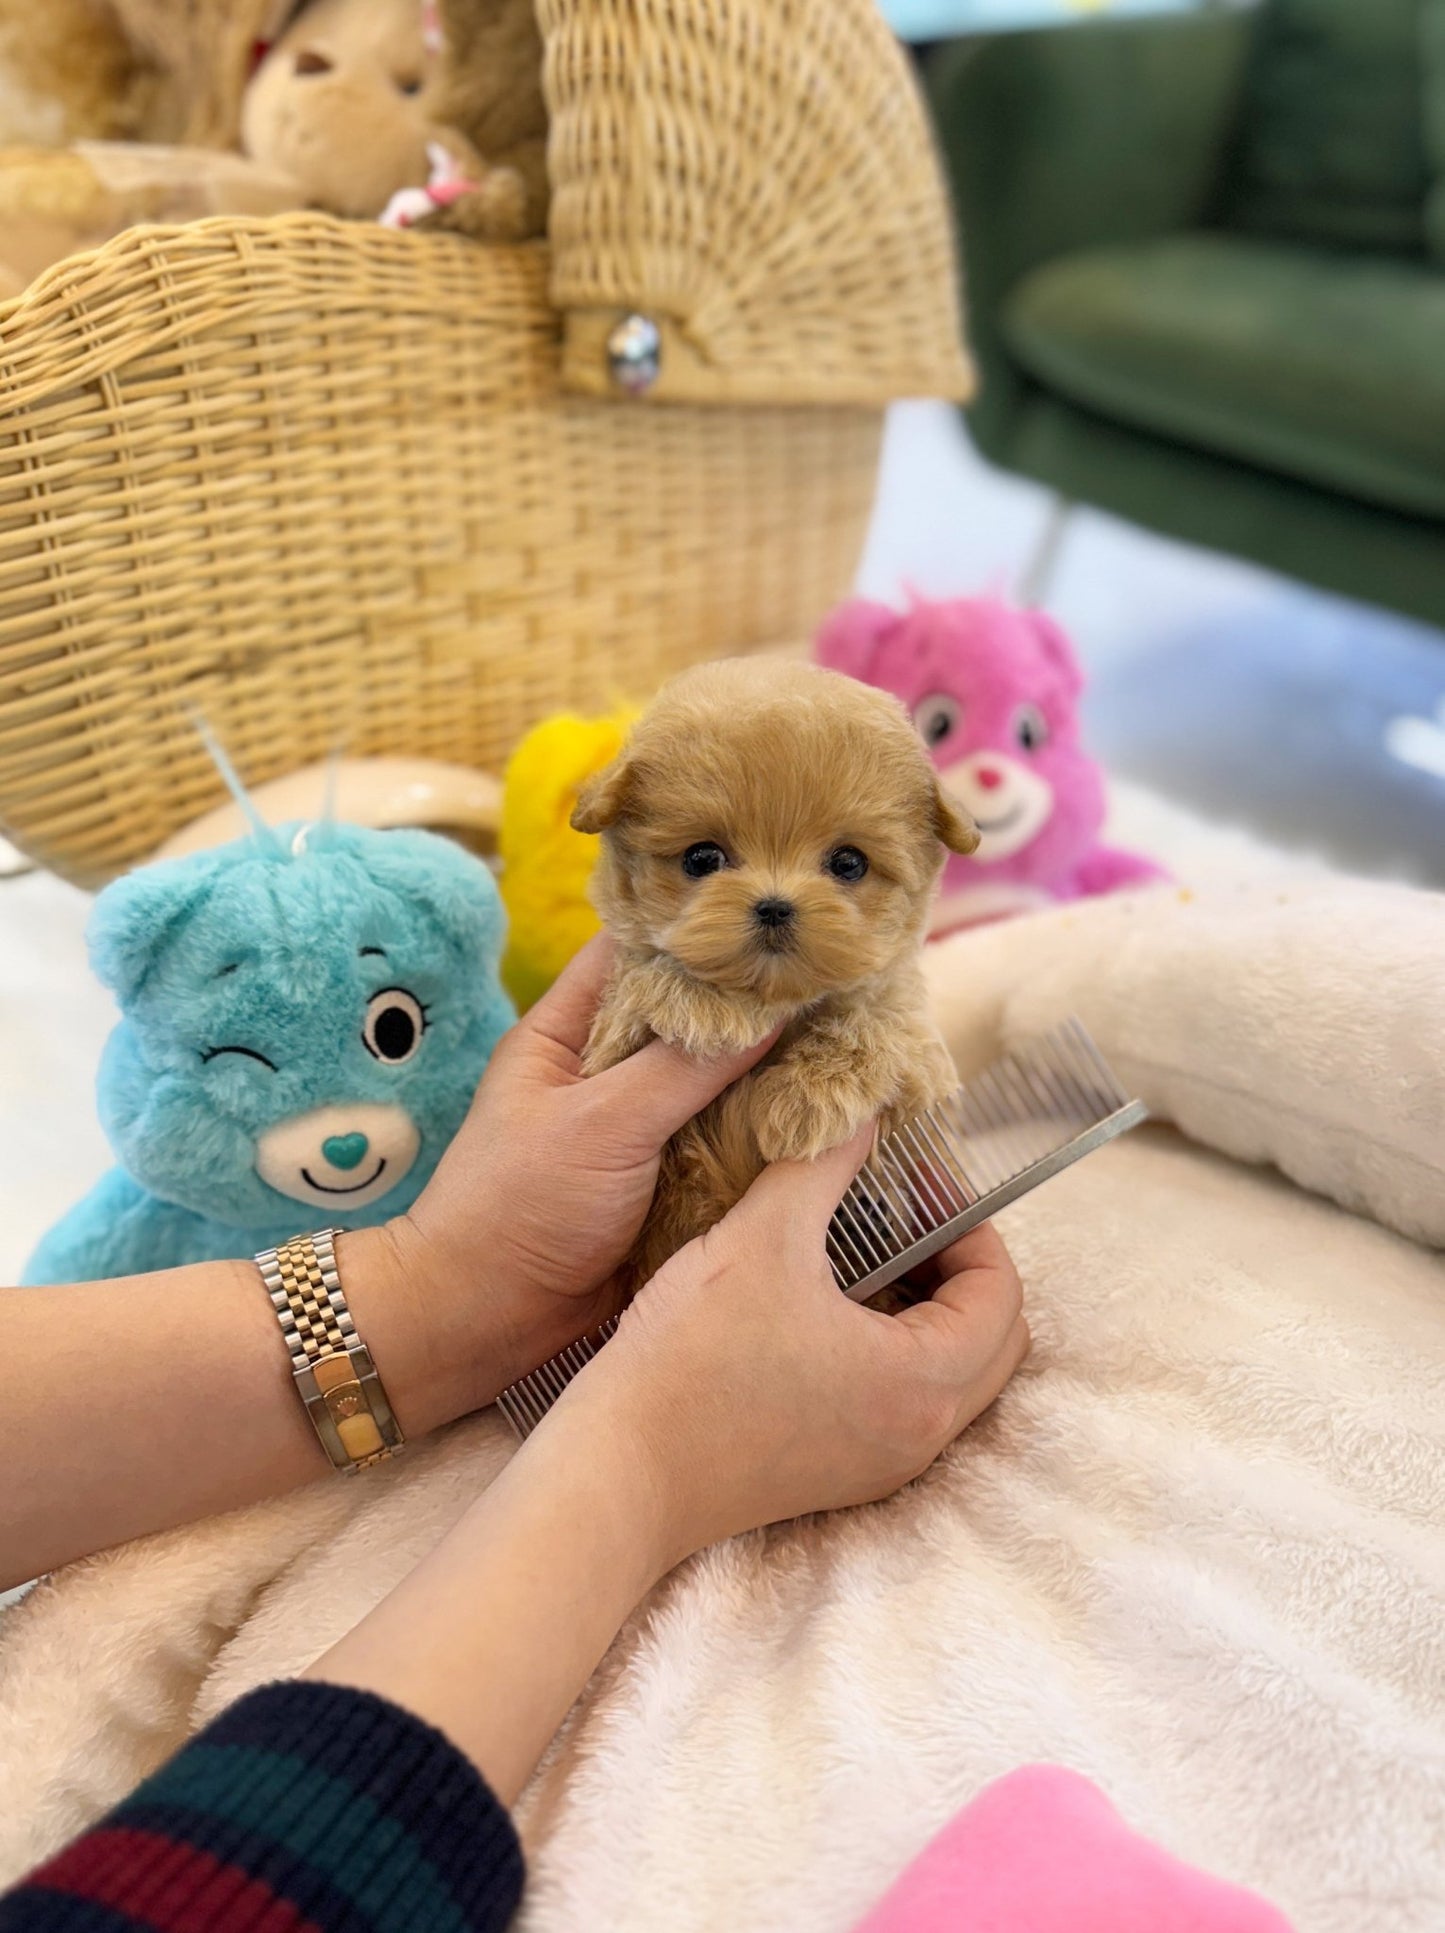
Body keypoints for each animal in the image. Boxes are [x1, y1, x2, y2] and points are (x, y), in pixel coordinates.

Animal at [571, 657, 977, 1306]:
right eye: (702, 859)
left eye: (848, 863)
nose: (775, 906)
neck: (780, 1000)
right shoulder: (607, 1053)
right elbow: (643, 985)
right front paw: (706, 1001)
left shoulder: (922, 1067)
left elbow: (876, 1026)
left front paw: (803, 1100)